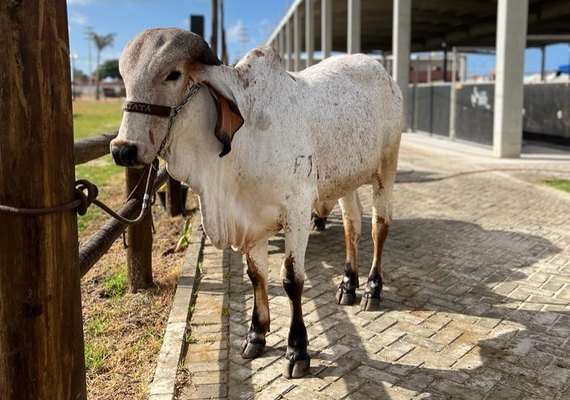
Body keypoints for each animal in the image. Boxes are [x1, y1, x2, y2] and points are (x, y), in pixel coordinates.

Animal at [111, 28, 402, 378]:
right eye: (125, 76)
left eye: (173, 74)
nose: (123, 149)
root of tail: (381, 70)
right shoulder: (251, 218)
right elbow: (256, 274)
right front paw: (256, 334)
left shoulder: (298, 210)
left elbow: (291, 279)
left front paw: (297, 350)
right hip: (347, 179)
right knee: (352, 226)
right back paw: (348, 285)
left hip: (386, 168)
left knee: (378, 227)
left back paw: (372, 289)